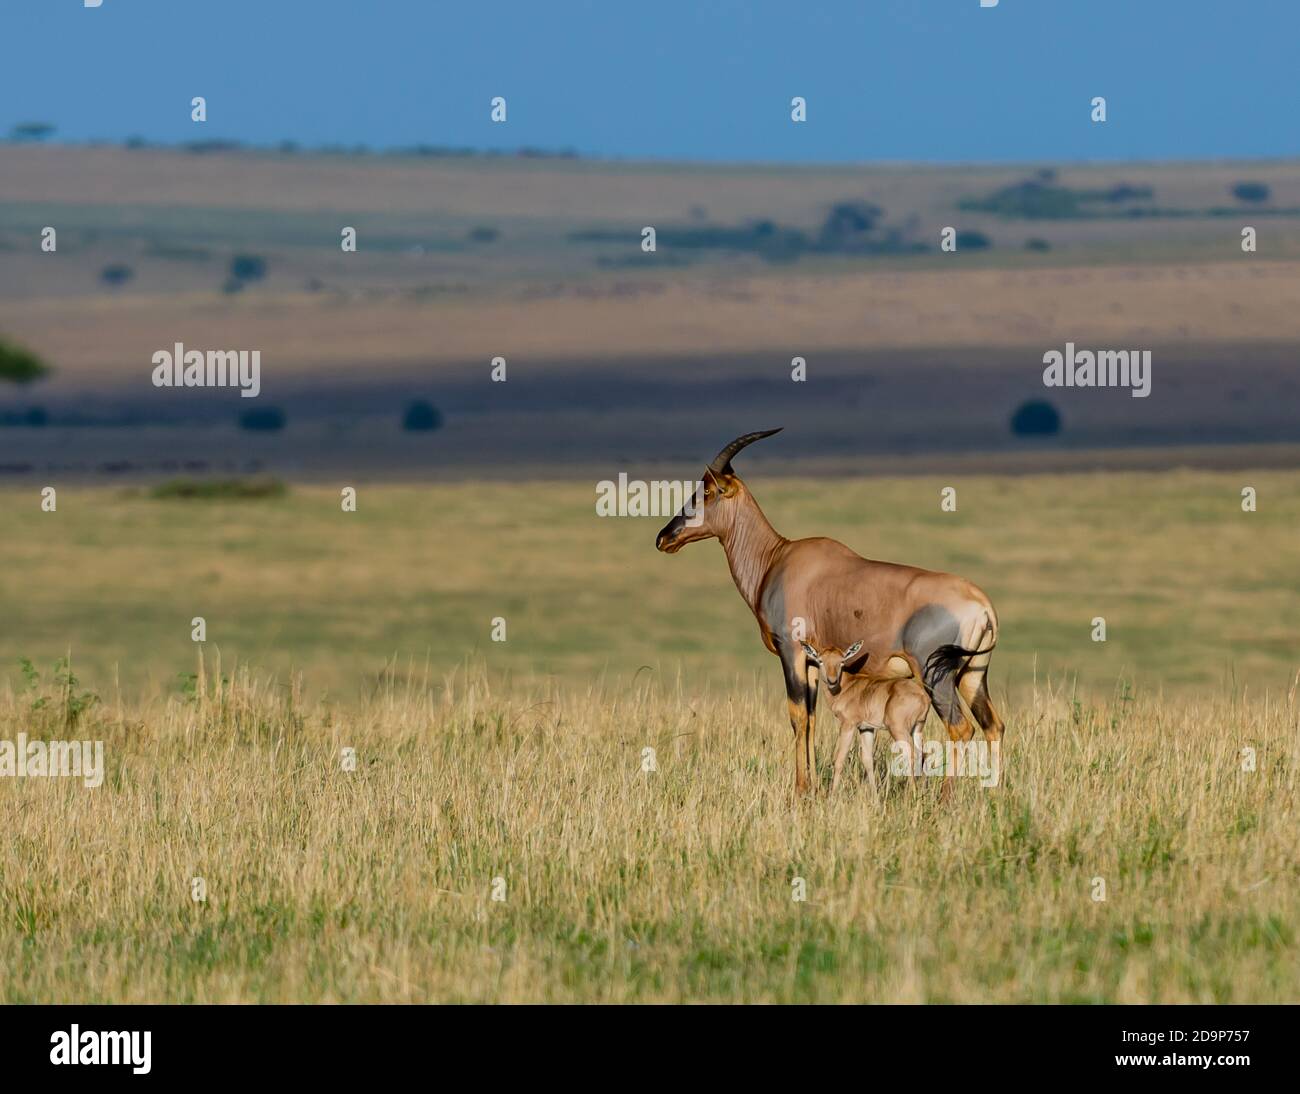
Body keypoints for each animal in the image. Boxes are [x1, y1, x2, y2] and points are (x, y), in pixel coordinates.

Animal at [798, 641, 928, 794]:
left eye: (842, 661)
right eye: (820, 660)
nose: (832, 681)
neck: (847, 685)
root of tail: (923, 696)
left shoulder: (848, 725)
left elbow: (839, 759)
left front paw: (832, 795)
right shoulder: (866, 728)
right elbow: (868, 761)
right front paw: (875, 795)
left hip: (898, 729)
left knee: (910, 754)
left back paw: (912, 793)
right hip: (918, 728)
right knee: (922, 755)